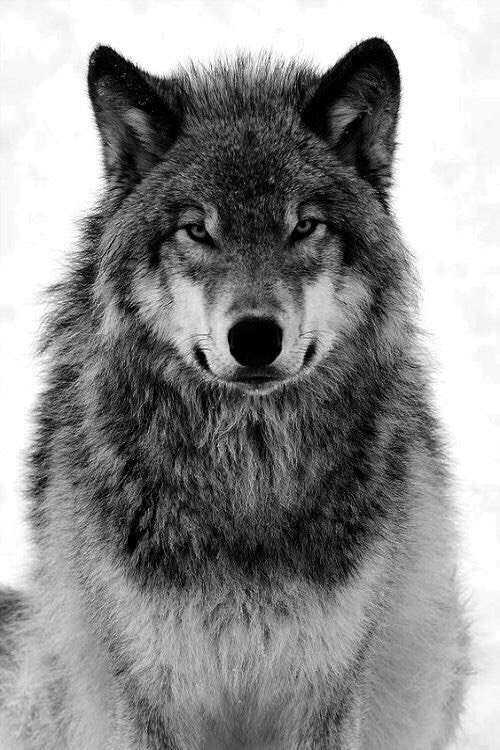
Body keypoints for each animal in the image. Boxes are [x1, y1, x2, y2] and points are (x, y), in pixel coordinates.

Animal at [0, 38, 469, 749]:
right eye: (198, 230)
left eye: (304, 226)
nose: (254, 337)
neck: (248, 476)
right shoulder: (150, 691)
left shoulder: (327, 688)